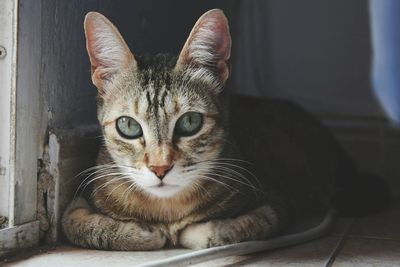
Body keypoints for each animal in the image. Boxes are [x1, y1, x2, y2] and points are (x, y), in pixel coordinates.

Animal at [61, 7, 388, 251]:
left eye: (190, 123)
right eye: (128, 126)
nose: (160, 168)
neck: (168, 208)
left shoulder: (276, 202)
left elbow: (217, 232)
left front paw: (185, 232)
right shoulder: (78, 202)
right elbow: (76, 224)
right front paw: (143, 232)